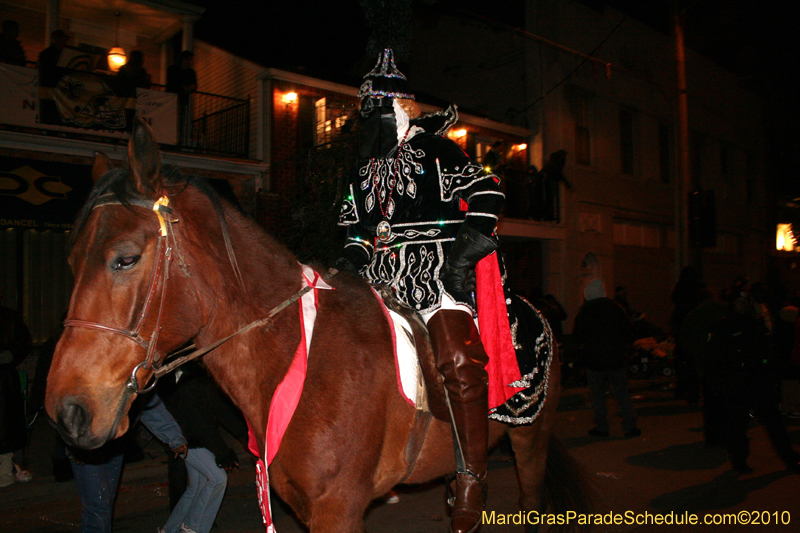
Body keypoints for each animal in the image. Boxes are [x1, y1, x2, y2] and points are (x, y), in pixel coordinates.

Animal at [47, 118, 592, 528]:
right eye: (69, 261)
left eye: (125, 259)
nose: (68, 412)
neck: (296, 353)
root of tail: (539, 314)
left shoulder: (338, 508)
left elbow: (483, 185)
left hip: (529, 439)